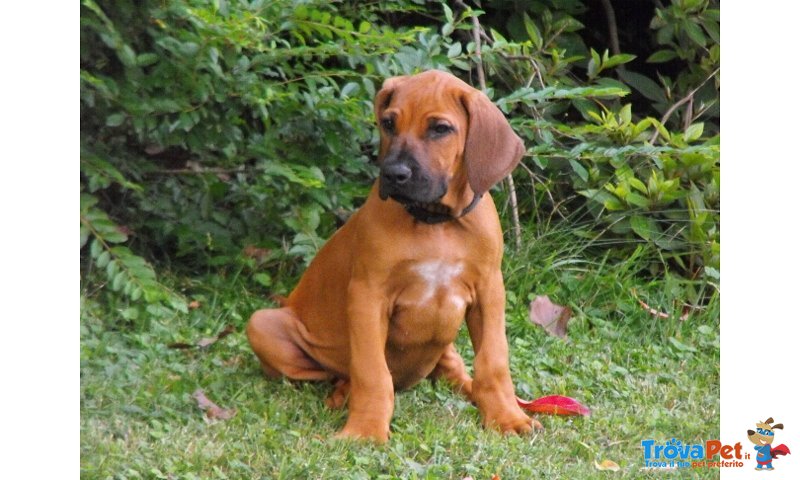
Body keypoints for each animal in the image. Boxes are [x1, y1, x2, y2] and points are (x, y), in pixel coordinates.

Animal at [248, 70, 536, 442]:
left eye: (440, 128)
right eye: (388, 123)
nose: (394, 174)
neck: (435, 222)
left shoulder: (489, 291)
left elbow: (493, 362)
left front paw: (506, 416)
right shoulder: (368, 295)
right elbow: (371, 370)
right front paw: (366, 429)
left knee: (453, 369)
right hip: (262, 323)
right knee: (336, 371)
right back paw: (342, 392)